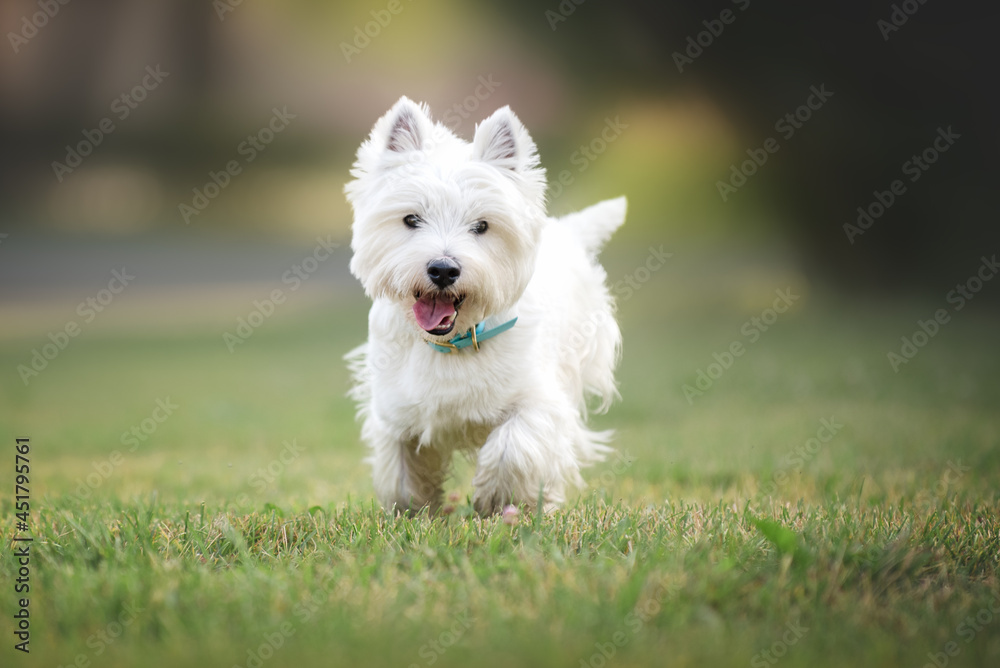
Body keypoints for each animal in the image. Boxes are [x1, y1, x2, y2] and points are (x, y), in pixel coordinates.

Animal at [344, 94, 624, 516]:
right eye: (411, 219)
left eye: (482, 226)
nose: (443, 269)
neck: (452, 342)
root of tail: (567, 229)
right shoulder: (395, 410)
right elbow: (401, 469)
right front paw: (412, 510)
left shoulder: (537, 399)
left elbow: (514, 446)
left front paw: (498, 499)